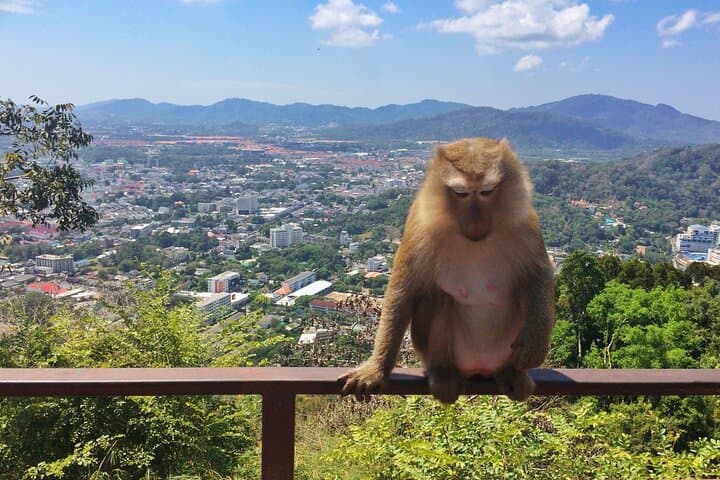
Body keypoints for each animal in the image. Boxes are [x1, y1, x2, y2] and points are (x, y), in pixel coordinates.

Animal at [339, 137, 555, 404]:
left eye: (486, 191)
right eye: (461, 193)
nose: (475, 220)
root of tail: (480, 367)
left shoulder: (526, 222)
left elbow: (538, 275)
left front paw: (536, 341)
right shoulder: (419, 223)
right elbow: (403, 291)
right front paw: (375, 370)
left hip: (504, 351)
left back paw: (511, 372)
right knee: (436, 297)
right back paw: (443, 373)